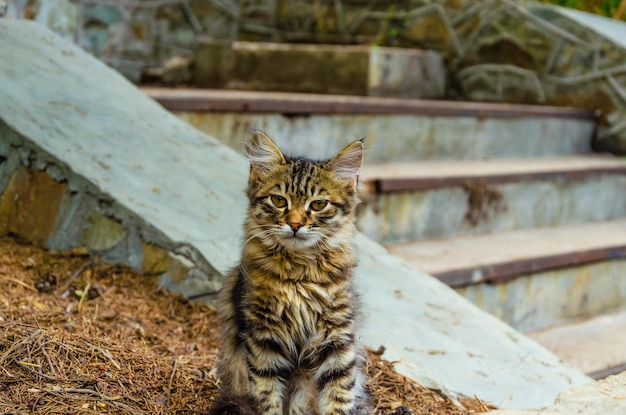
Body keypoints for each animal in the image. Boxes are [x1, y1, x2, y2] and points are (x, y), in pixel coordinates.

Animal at [213, 132, 370, 415]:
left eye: (318, 204)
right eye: (279, 200)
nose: (295, 224)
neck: (300, 274)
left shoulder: (337, 339)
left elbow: (338, 397)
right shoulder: (263, 339)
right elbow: (267, 397)